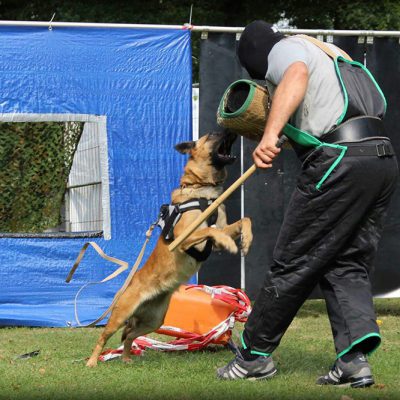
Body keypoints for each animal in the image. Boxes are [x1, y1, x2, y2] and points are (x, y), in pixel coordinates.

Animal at [86, 130, 252, 366]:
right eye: (213, 134)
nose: (231, 130)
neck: (202, 191)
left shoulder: (222, 226)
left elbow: (243, 220)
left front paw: (246, 239)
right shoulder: (184, 239)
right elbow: (210, 231)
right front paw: (227, 243)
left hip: (154, 320)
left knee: (130, 336)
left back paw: (126, 358)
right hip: (121, 315)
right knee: (104, 336)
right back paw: (92, 361)